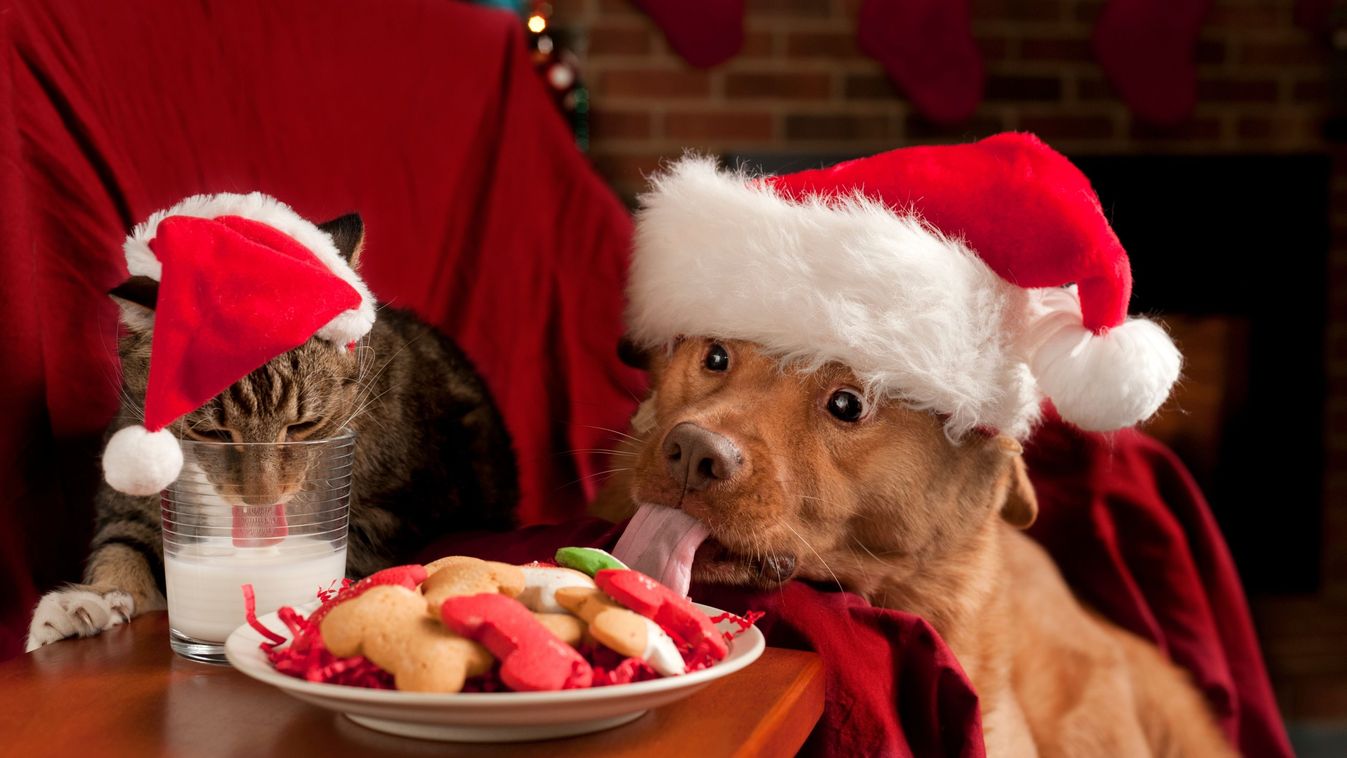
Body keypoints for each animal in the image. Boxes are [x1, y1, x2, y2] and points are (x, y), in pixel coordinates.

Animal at [27, 215, 519, 651]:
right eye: (212, 433)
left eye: (303, 426)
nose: (260, 500)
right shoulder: (133, 506)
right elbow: (123, 548)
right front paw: (86, 602)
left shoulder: (389, 514)